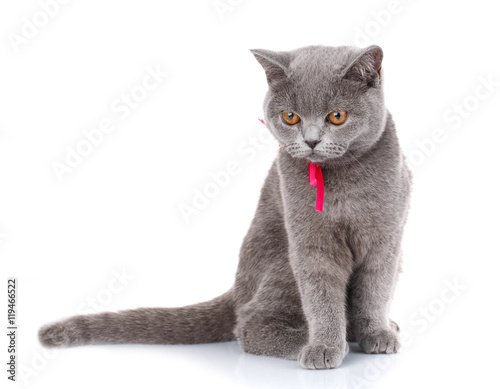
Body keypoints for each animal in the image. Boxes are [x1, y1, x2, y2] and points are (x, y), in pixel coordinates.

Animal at [40, 44, 410, 368]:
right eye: (290, 117)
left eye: (337, 116)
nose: (311, 140)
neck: (345, 182)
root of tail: (237, 287)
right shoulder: (310, 242)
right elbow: (322, 295)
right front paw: (324, 346)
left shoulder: (387, 237)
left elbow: (375, 288)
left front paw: (377, 334)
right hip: (282, 263)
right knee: (248, 324)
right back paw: (311, 342)